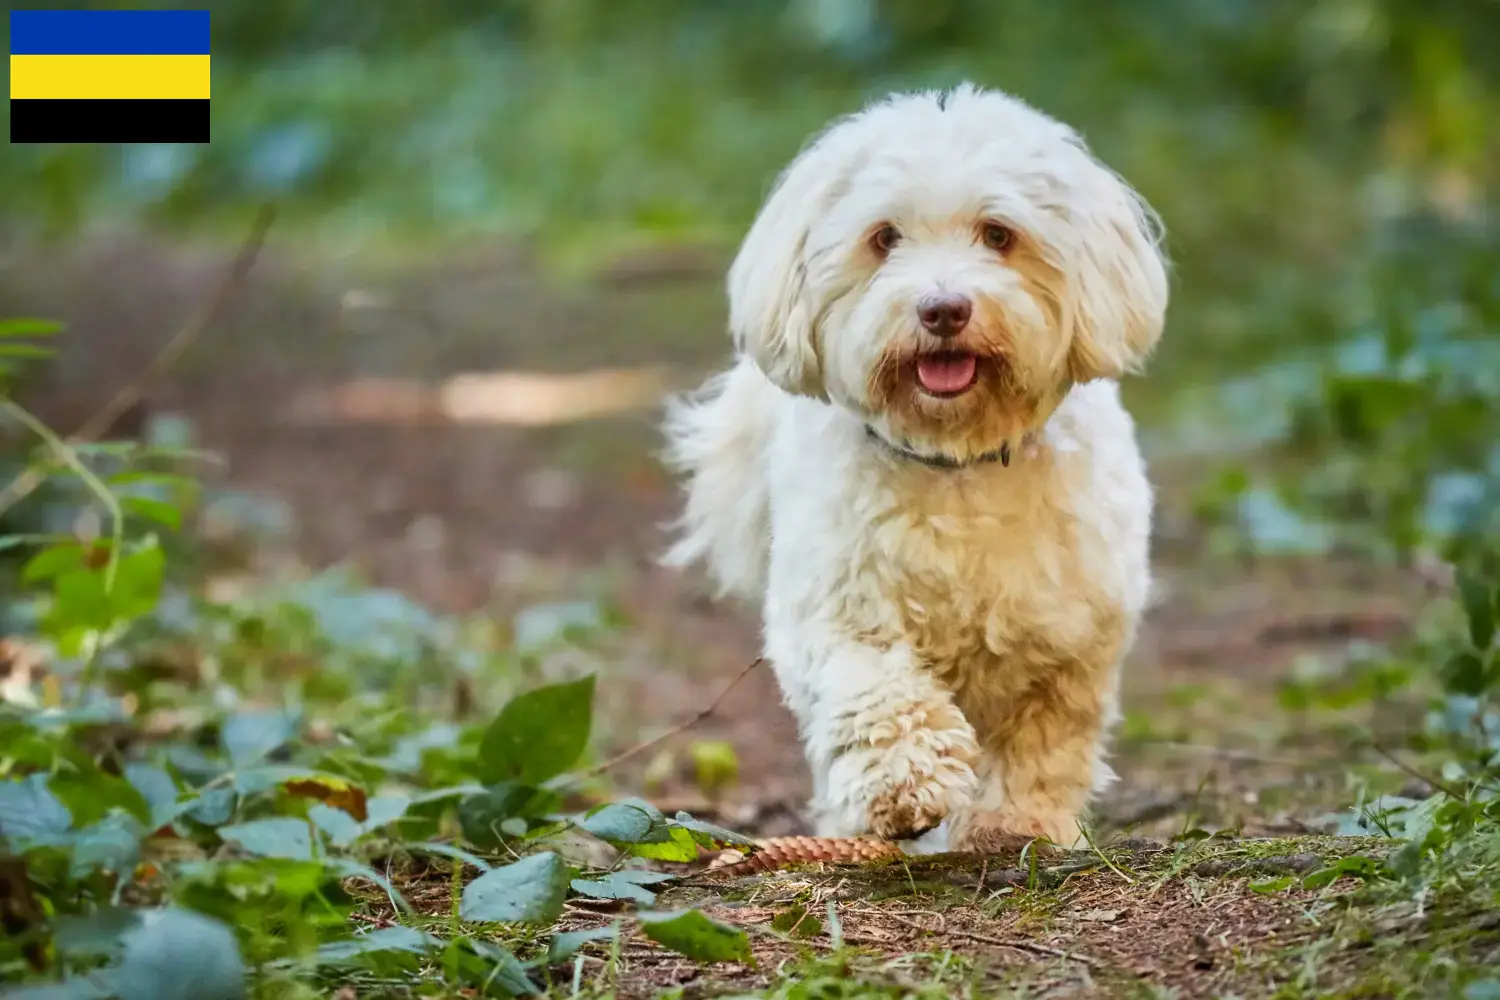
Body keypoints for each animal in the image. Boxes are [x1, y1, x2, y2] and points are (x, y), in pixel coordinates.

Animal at [663, 86, 1164, 851]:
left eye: (998, 234)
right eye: (885, 238)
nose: (943, 309)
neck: (956, 458)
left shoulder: (1070, 637)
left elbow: (1044, 738)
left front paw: (1018, 823)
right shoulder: (840, 610)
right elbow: (876, 689)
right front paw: (906, 782)